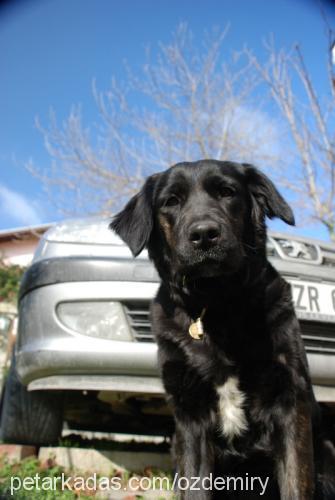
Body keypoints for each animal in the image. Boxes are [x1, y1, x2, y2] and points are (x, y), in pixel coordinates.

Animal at [111, 159, 334, 496]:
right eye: (171, 201)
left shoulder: (290, 405)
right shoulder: (190, 420)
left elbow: (295, 485)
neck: (217, 304)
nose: (204, 234)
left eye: (227, 192)